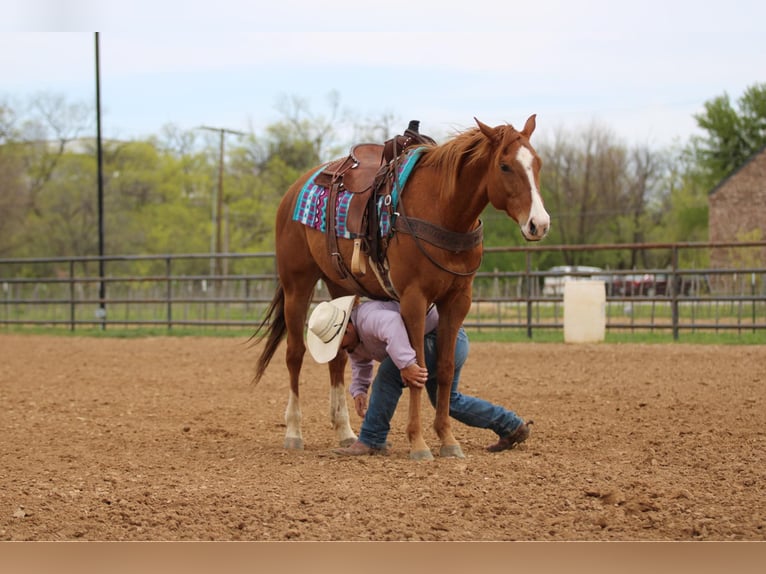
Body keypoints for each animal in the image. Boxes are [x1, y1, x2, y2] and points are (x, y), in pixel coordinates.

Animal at [255, 115, 548, 462]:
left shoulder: (458, 300)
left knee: (337, 358)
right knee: (295, 354)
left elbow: (444, 369)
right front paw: (418, 443)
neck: (443, 209)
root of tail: (295, 189)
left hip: (338, 284)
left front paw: (447, 439)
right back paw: (294, 431)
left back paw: (345, 431)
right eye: (504, 166)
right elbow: (417, 368)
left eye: (537, 163)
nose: (539, 224)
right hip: (296, 283)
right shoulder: (413, 299)